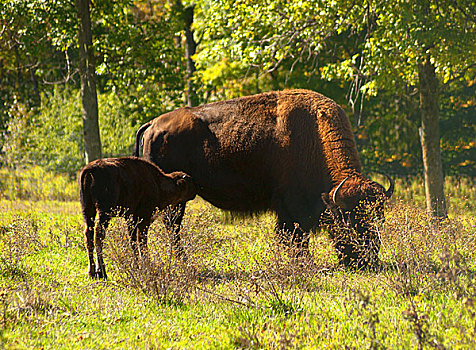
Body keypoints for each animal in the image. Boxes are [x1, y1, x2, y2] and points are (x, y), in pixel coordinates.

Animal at [135, 89, 394, 266]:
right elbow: (295, 237)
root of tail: (152, 124)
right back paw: (181, 260)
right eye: (348, 221)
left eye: (378, 218)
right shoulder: (291, 208)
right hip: (173, 199)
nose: (367, 260)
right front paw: (303, 263)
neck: (315, 136)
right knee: (171, 227)